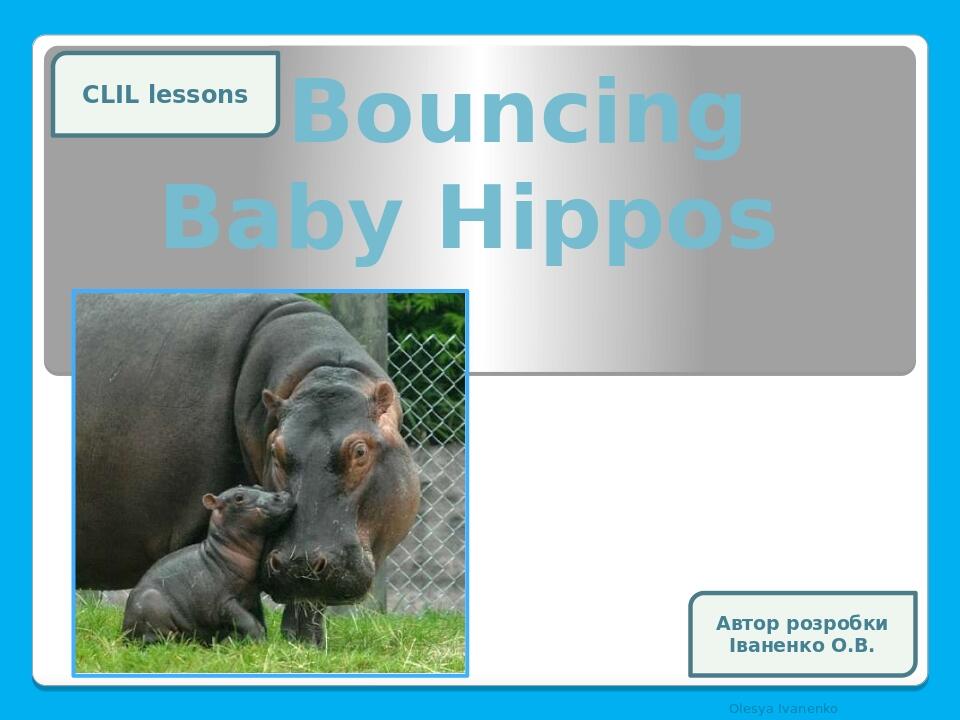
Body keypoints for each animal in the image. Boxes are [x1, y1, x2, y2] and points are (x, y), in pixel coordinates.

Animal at [123, 485, 296, 644]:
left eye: (257, 486)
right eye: (239, 498)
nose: (281, 494)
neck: (223, 551)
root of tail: (124, 632)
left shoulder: (253, 596)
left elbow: (259, 617)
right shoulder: (224, 601)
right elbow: (246, 620)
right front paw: (258, 642)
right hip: (151, 601)